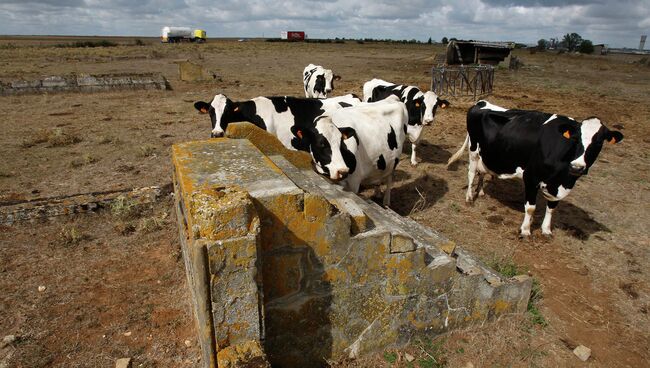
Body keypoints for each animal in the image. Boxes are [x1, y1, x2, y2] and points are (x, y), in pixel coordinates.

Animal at [446, 100, 624, 237]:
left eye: (599, 142)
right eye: (575, 138)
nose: (577, 167)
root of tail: (481, 103)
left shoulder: (556, 185)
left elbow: (552, 208)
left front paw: (546, 230)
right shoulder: (531, 178)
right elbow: (531, 208)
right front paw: (525, 230)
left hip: (487, 154)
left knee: (482, 171)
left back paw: (481, 191)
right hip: (474, 150)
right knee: (471, 173)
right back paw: (469, 197)